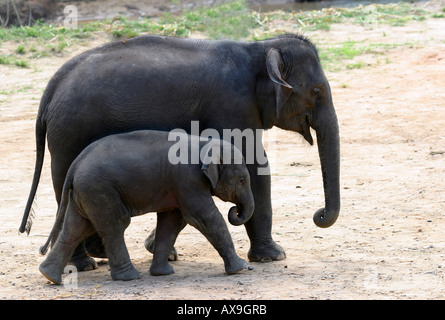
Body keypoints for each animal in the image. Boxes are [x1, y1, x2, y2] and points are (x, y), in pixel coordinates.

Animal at [20, 33, 340, 268]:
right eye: (316, 92)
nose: (318, 214)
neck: (259, 47)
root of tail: (50, 90)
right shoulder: (232, 104)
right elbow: (252, 163)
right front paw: (274, 257)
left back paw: (97, 255)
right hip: (70, 131)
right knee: (64, 184)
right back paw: (85, 264)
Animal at [40, 129, 255, 284]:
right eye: (242, 180)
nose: (235, 211)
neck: (205, 142)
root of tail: (74, 166)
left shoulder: (177, 184)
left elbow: (171, 221)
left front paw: (163, 273)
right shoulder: (188, 180)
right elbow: (204, 217)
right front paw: (240, 268)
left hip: (85, 193)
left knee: (75, 228)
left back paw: (49, 276)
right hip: (100, 190)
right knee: (115, 226)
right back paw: (128, 277)